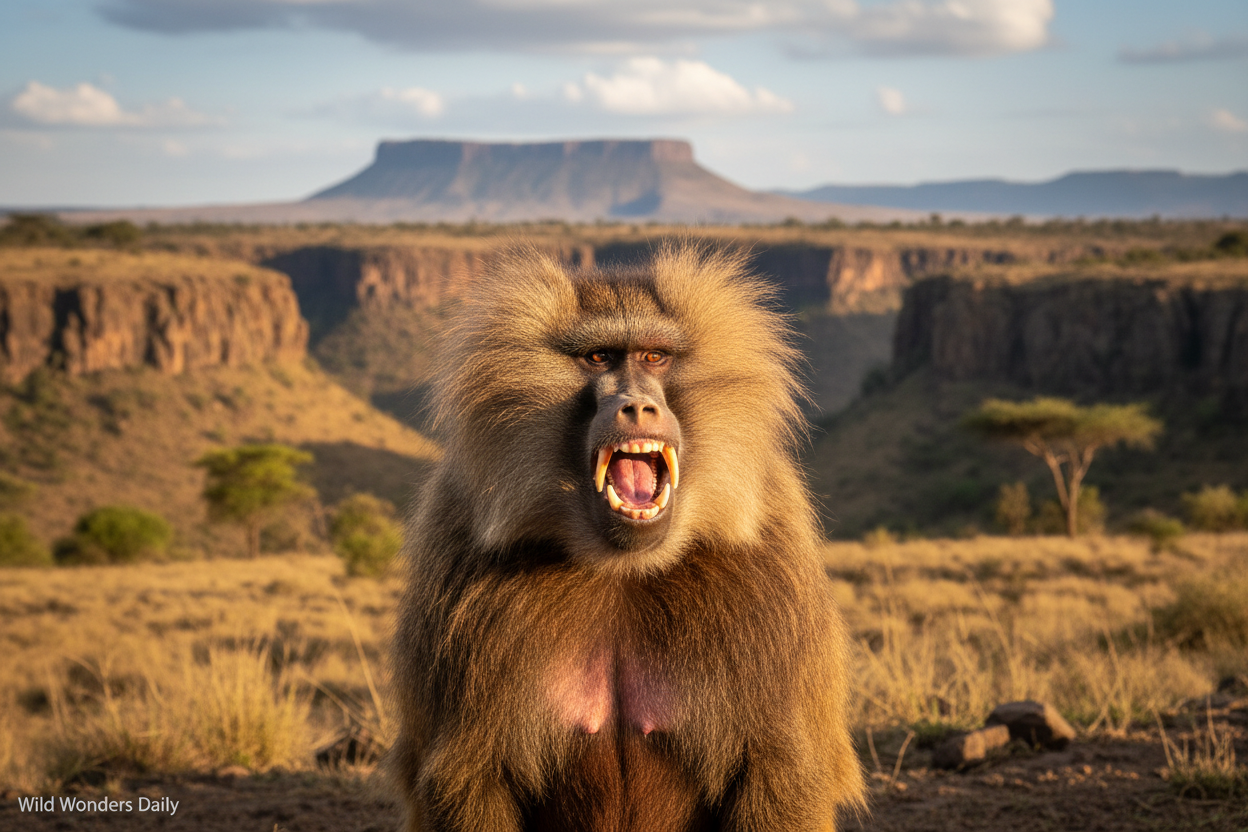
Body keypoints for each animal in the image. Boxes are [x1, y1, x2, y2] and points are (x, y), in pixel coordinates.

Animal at [390, 242, 866, 831]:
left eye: (655, 357)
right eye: (599, 358)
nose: (638, 406)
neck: (624, 568)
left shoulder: (772, 576)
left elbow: (781, 779)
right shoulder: (457, 572)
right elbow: (467, 783)